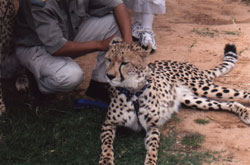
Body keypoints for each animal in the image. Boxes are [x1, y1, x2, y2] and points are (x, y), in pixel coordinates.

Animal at [99, 36, 250, 164]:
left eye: (124, 63)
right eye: (108, 60)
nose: (109, 76)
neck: (133, 91)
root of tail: (188, 64)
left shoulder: (153, 126)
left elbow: (153, 149)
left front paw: (150, 161)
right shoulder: (108, 123)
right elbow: (106, 145)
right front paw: (106, 160)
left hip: (203, 87)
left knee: (242, 93)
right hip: (191, 99)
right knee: (227, 103)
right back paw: (244, 113)